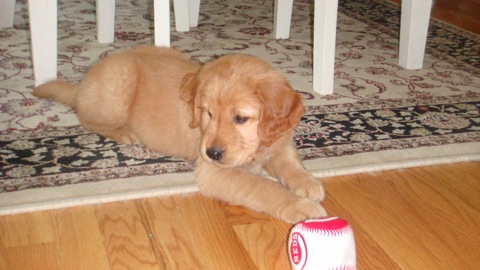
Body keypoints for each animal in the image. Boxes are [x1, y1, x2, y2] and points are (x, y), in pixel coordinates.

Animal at [32, 47, 326, 224]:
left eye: (241, 118)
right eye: (208, 113)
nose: (212, 153)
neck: (256, 148)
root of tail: (83, 83)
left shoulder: (278, 140)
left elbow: (290, 163)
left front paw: (308, 183)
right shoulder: (214, 172)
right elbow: (263, 187)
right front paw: (302, 208)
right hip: (118, 84)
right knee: (86, 116)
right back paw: (125, 132)